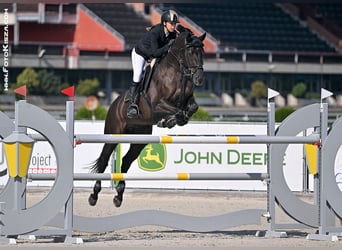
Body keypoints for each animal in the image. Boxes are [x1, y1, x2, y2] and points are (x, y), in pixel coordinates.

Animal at [89, 25, 206, 207]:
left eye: (202, 52)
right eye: (190, 52)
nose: (199, 79)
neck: (176, 71)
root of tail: (113, 105)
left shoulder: (187, 101)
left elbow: (192, 108)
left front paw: (172, 121)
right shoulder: (158, 104)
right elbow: (177, 112)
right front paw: (170, 120)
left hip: (139, 140)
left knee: (125, 161)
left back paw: (118, 196)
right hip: (113, 134)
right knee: (103, 160)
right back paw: (94, 196)